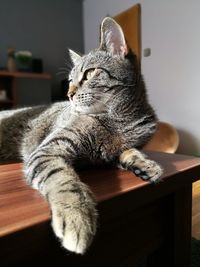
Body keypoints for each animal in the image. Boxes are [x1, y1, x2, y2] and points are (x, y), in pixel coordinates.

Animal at [0, 17, 162, 254]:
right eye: (69, 80)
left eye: (89, 73)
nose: (68, 94)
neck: (119, 121)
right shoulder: (49, 149)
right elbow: (64, 180)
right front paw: (76, 216)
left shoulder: (111, 153)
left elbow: (130, 150)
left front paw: (145, 164)